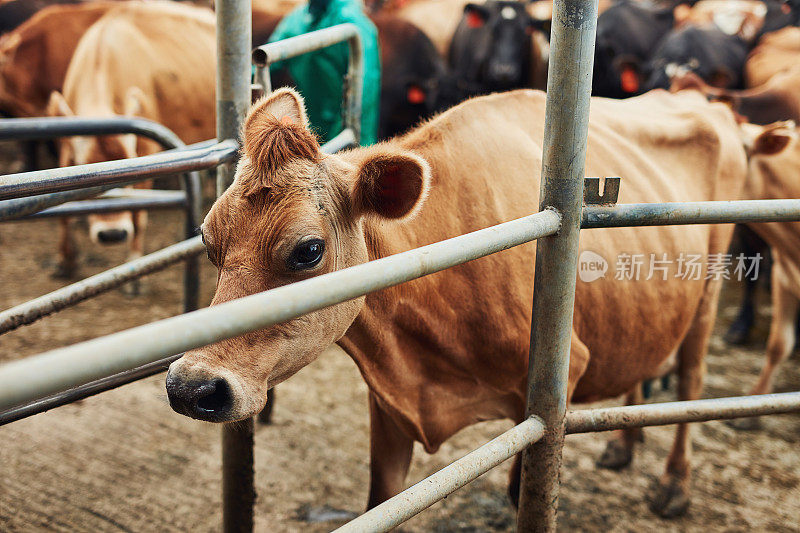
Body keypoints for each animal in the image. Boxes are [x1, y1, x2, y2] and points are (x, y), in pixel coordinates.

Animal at [47, 0, 216, 280]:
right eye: (85, 166)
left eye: (128, 164)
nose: (112, 234)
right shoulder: (65, 150)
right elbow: (63, 212)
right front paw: (65, 259)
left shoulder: (148, 148)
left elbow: (139, 210)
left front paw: (135, 265)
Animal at [166, 89, 752, 516]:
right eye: (208, 240)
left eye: (308, 250)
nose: (192, 386)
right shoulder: (389, 407)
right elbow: (381, 501)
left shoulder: (555, 387)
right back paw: (622, 447)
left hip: (709, 288)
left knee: (691, 377)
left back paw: (674, 485)